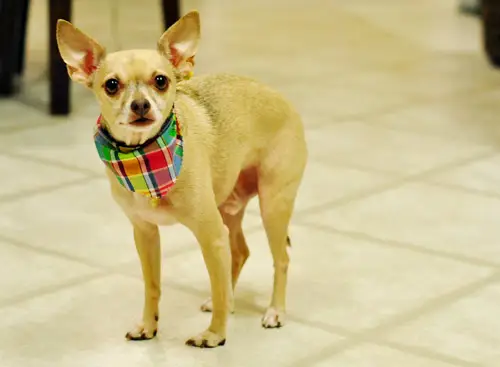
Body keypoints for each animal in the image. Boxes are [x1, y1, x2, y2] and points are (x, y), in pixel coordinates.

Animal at [53, 10, 304, 350]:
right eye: (112, 85)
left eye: (161, 81)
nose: (140, 104)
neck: (144, 156)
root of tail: (283, 99)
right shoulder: (145, 234)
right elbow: (153, 286)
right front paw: (148, 326)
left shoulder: (210, 236)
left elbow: (217, 286)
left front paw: (214, 335)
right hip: (228, 208)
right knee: (240, 252)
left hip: (272, 206)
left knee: (282, 259)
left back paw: (275, 311)